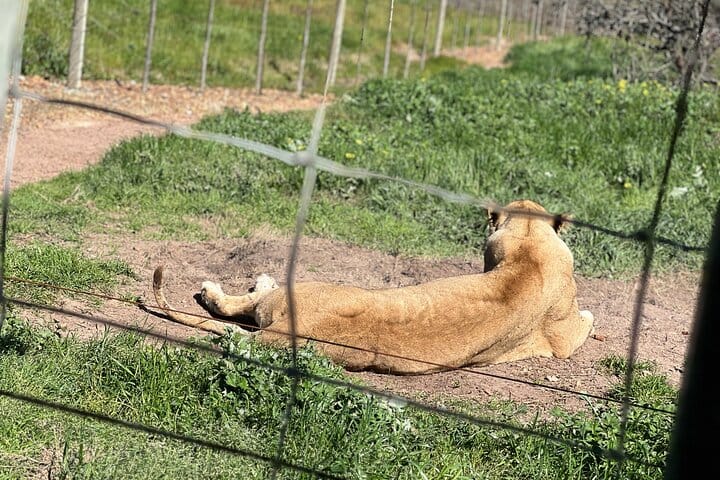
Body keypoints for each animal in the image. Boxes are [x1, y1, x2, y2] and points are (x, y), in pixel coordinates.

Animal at [151, 199, 594, 374]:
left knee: (240, 304)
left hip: (300, 289)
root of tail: (285, 331)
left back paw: (226, 288)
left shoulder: (562, 340)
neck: (529, 248)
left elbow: (585, 319)